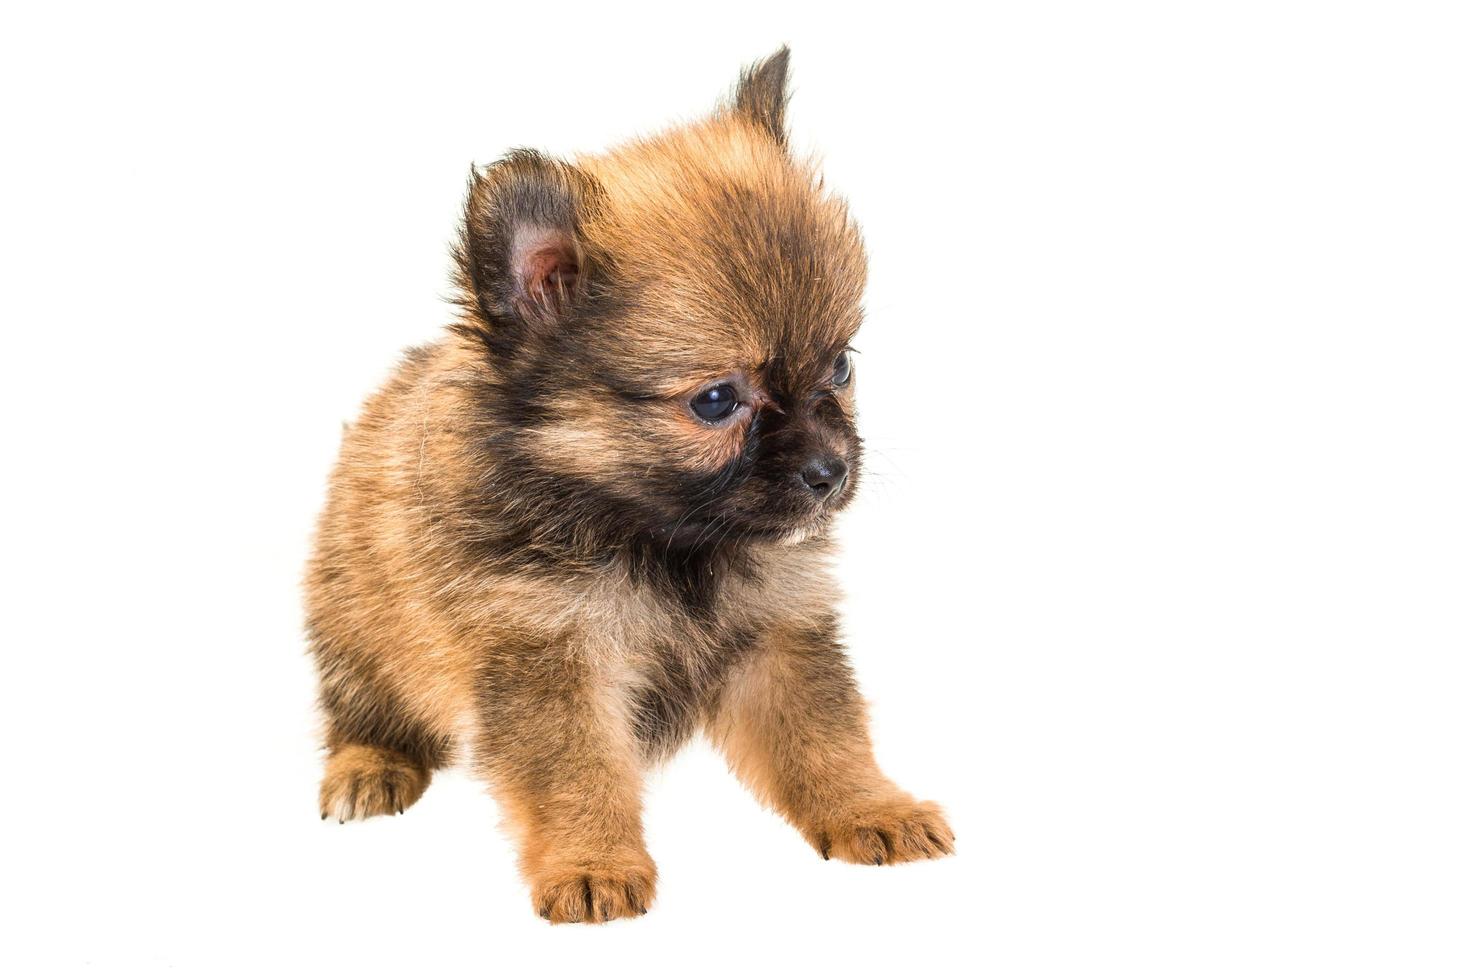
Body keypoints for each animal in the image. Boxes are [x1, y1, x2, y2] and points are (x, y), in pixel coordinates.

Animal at [307, 49, 952, 922]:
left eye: (842, 366)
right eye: (715, 401)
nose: (831, 471)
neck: (657, 534)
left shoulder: (779, 631)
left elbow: (826, 735)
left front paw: (870, 808)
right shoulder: (548, 654)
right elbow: (575, 772)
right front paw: (593, 864)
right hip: (358, 626)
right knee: (362, 708)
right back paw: (368, 765)